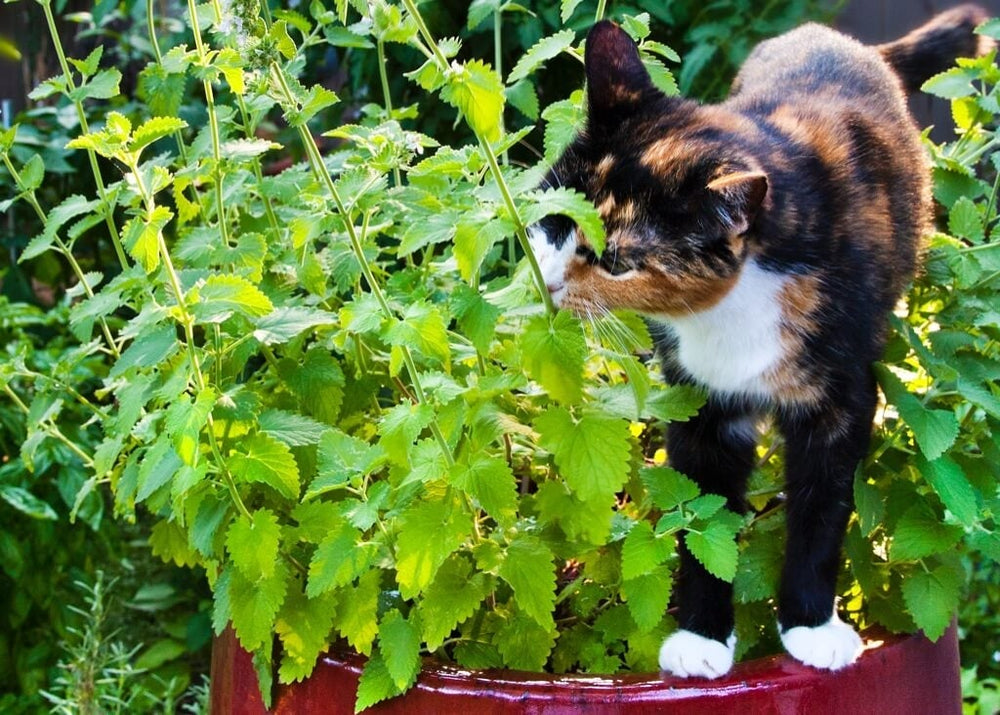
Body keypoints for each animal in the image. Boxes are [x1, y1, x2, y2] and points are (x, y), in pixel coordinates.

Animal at [528, 4, 988, 676]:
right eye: (553, 218)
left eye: (616, 262)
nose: (550, 283)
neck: (737, 303)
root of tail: (838, 38)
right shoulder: (699, 399)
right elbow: (704, 515)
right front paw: (701, 637)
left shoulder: (844, 398)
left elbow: (823, 510)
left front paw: (812, 626)